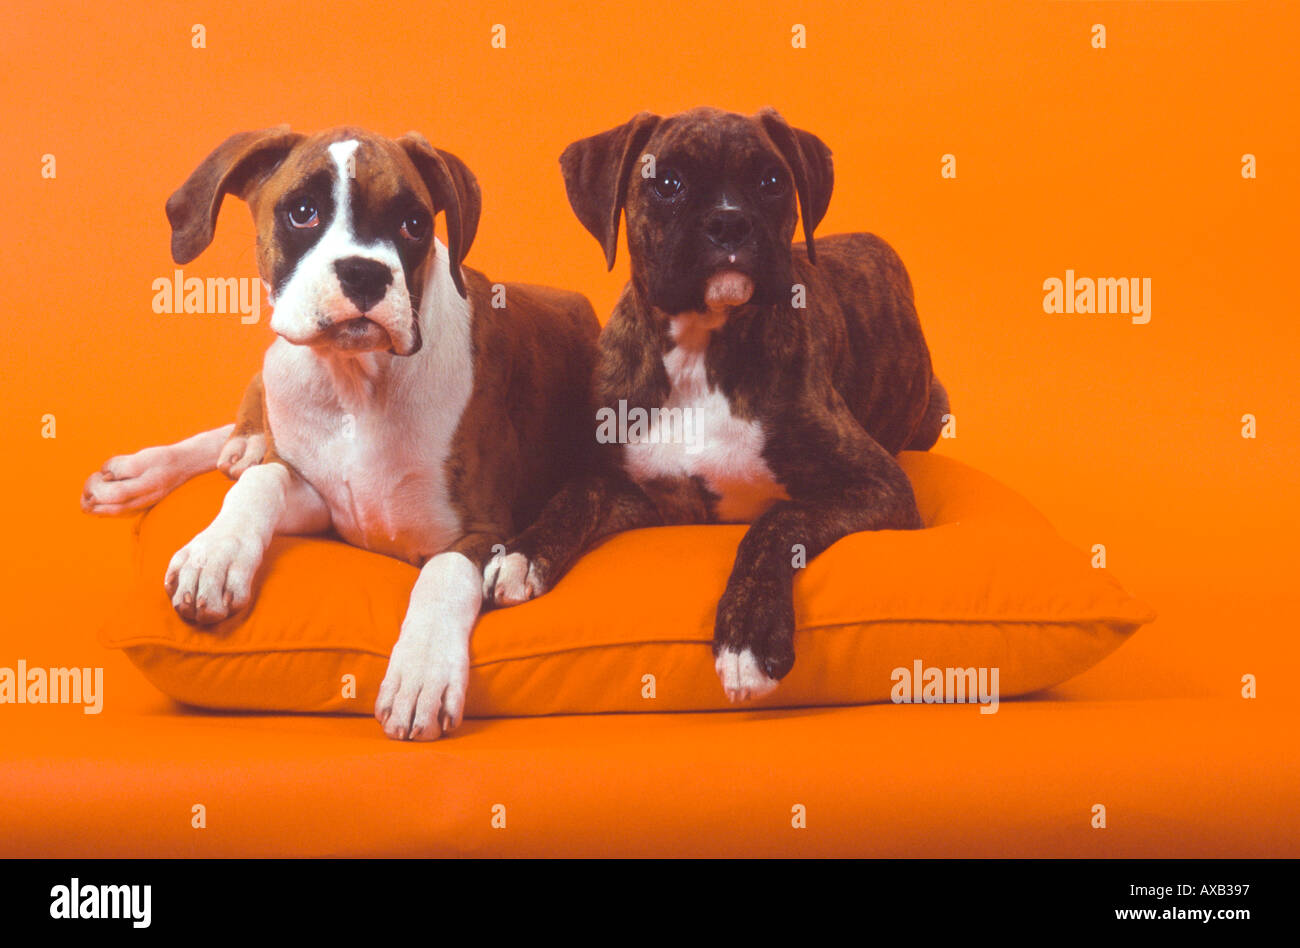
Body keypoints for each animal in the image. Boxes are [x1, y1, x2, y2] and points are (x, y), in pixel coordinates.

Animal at [83, 125, 600, 738]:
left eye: (415, 224)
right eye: (302, 212)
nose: (364, 272)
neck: (357, 383)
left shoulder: (482, 530)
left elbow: (444, 573)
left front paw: (422, 670)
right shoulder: (323, 504)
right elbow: (260, 484)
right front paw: (216, 553)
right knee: (246, 444)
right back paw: (151, 469)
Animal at [486, 109, 946, 702]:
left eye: (772, 181)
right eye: (668, 183)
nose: (730, 224)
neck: (701, 350)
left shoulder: (880, 487)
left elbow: (777, 521)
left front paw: (747, 635)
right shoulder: (658, 497)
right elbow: (577, 492)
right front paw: (524, 553)